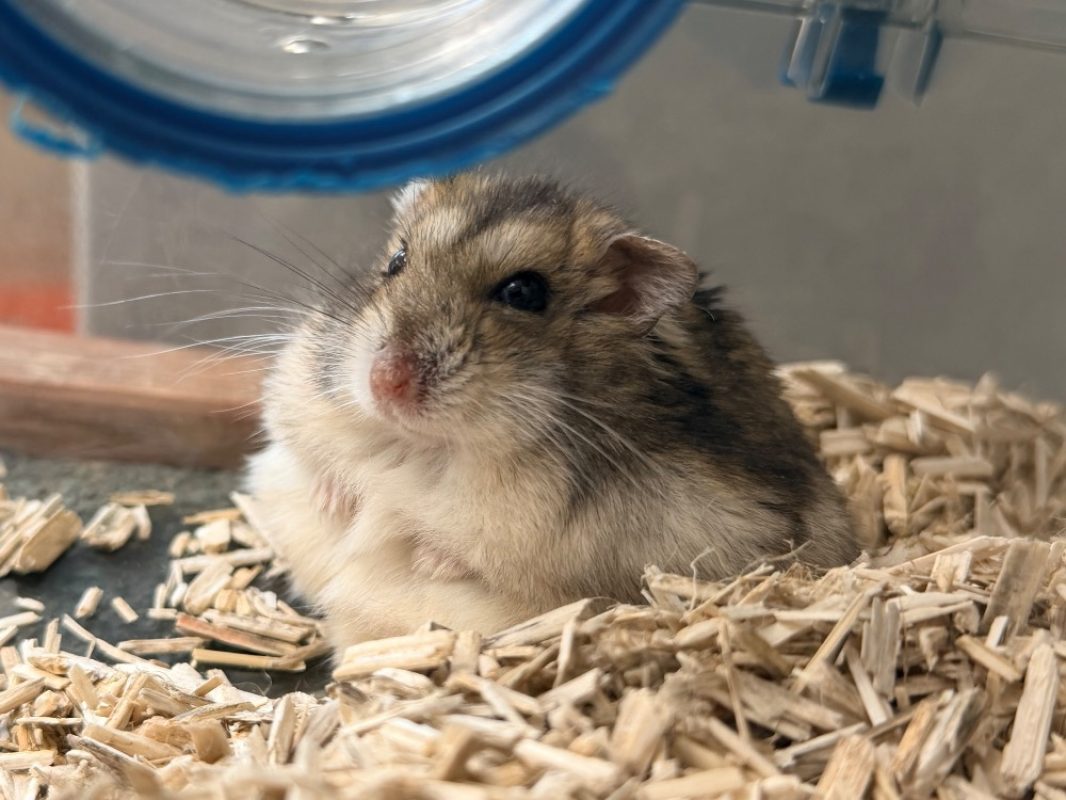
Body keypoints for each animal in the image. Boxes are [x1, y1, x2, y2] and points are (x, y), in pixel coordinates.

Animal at [245, 173, 858, 651]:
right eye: (397, 261)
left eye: (523, 293)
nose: (385, 384)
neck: (431, 443)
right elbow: (311, 458)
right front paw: (337, 501)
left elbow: (478, 553)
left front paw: (427, 557)